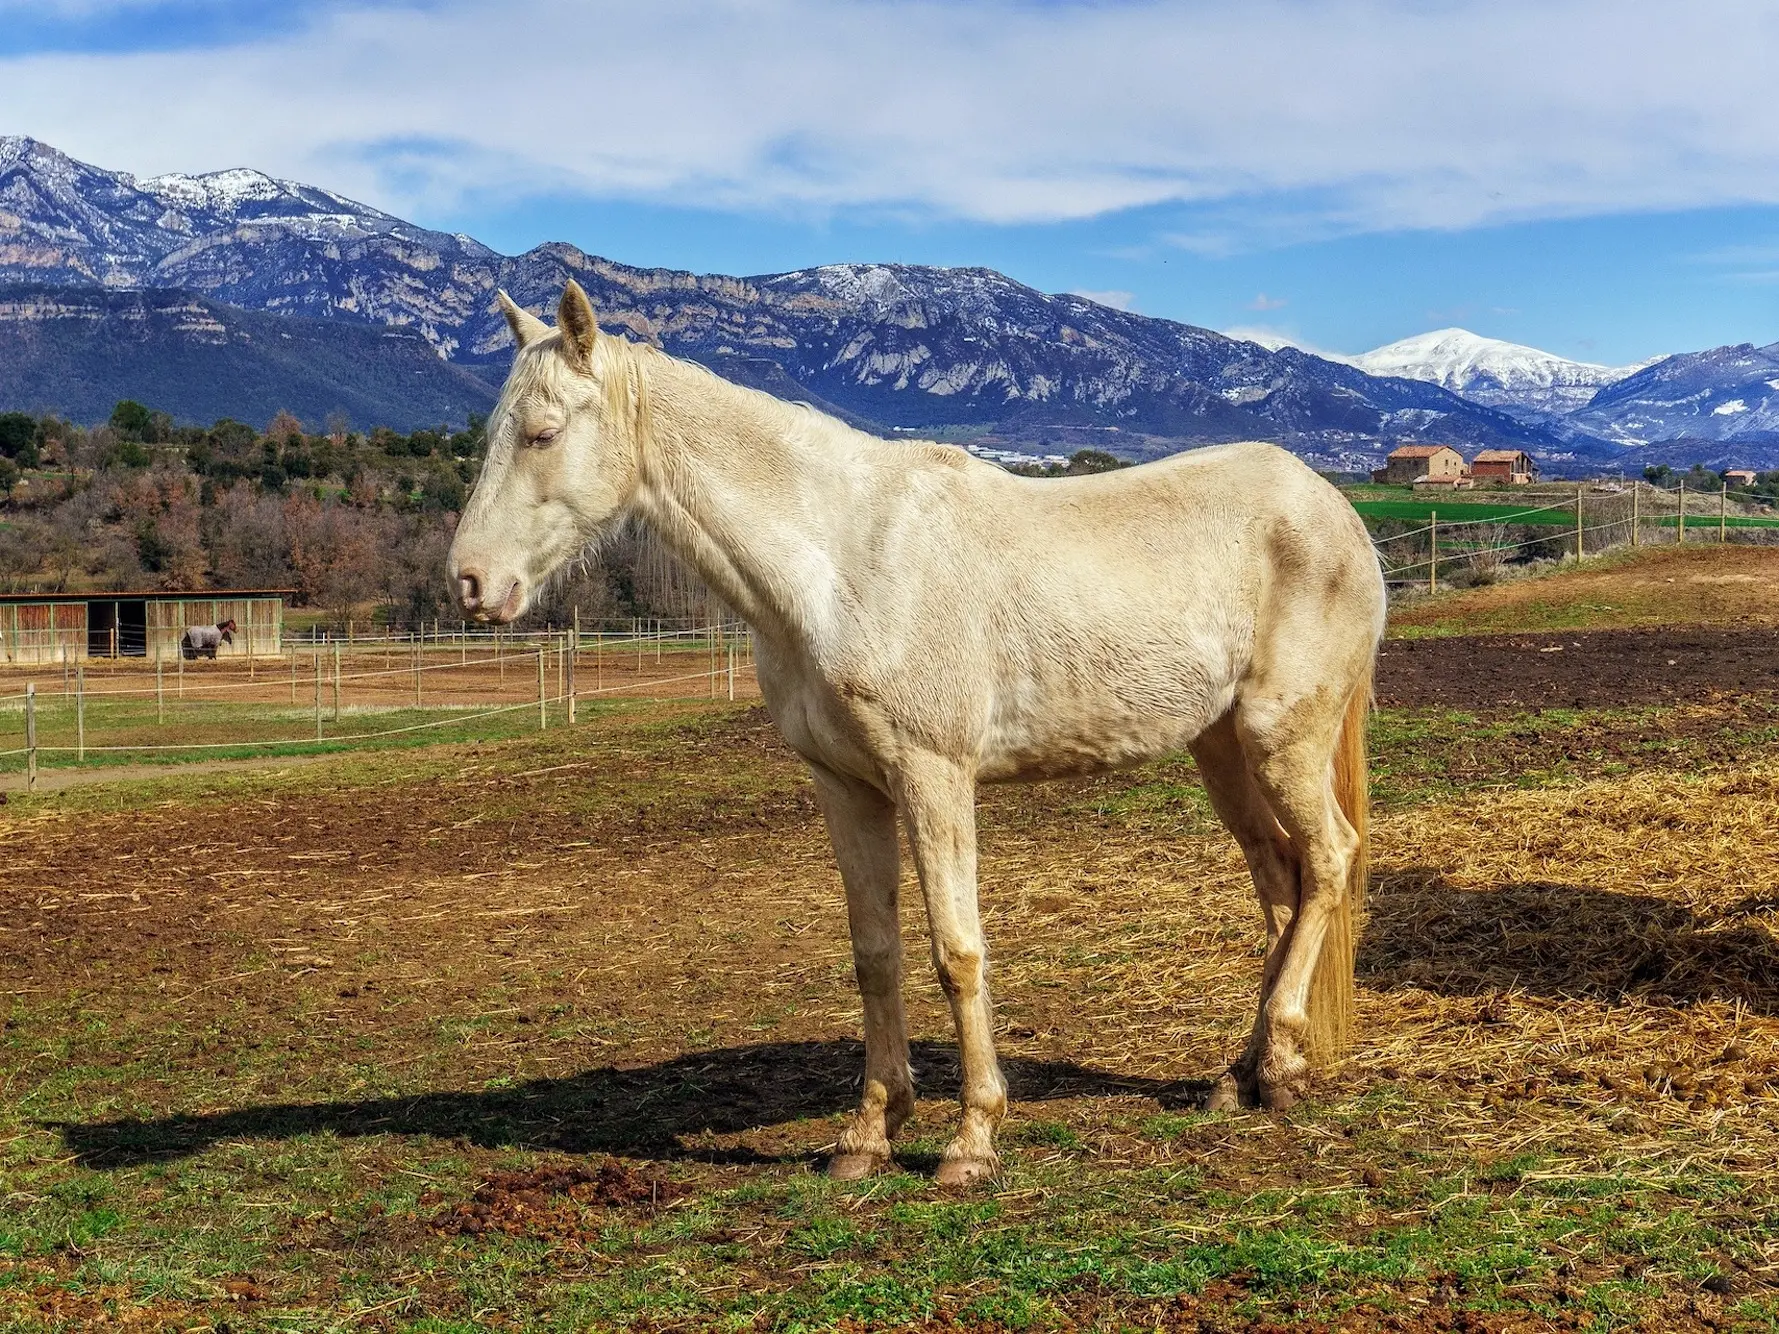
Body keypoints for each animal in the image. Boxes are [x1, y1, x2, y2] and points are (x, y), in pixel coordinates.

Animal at [448, 282, 1387, 1188]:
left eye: (542, 433)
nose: (470, 583)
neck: (840, 564)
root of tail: (1332, 508)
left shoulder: (932, 774)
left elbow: (955, 952)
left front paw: (972, 1142)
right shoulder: (844, 785)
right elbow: (874, 953)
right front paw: (868, 1134)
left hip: (1280, 737)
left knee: (1328, 861)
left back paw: (1277, 1062)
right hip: (1220, 748)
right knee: (1280, 882)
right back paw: (1248, 1075)